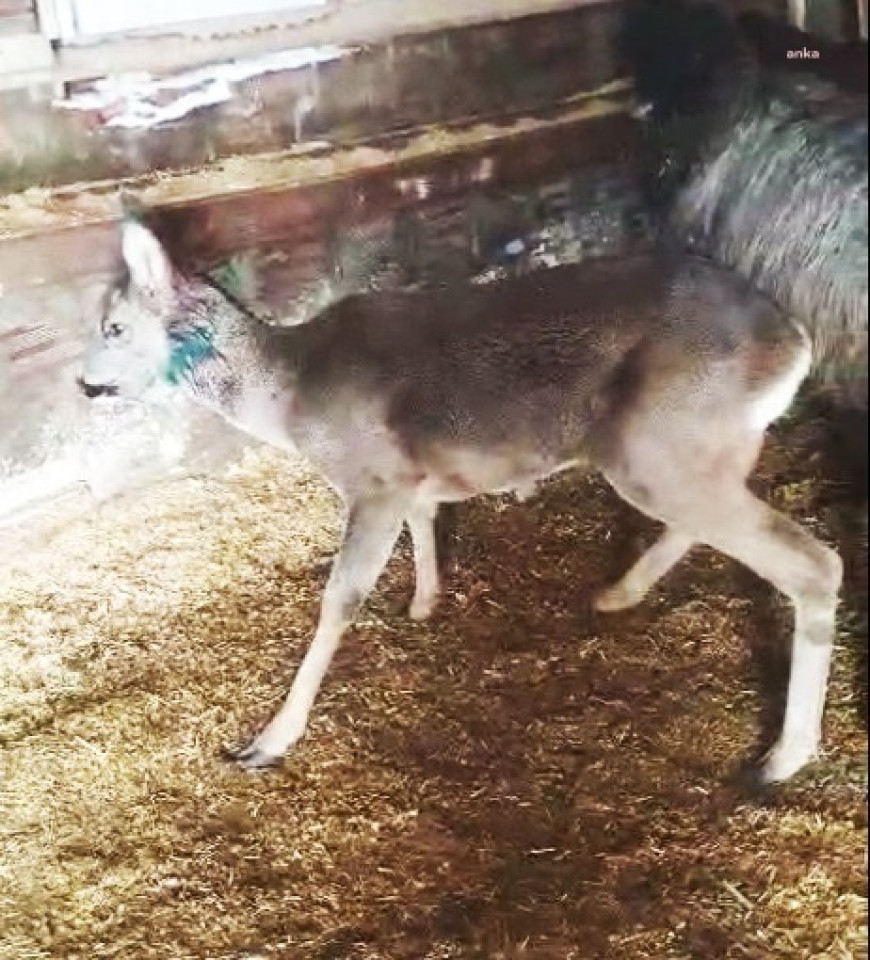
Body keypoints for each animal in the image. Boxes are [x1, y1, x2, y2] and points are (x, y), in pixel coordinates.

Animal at [78, 219, 840, 788]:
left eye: (113, 327)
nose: (85, 385)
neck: (291, 398)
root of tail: (791, 344)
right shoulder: (407, 479)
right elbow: (427, 518)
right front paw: (425, 601)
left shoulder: (373, 478)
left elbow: (339, 598)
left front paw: (269, 739)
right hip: (695, 450)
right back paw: (617, 593)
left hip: (664, 443)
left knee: (814, 564)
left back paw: (780, 759)